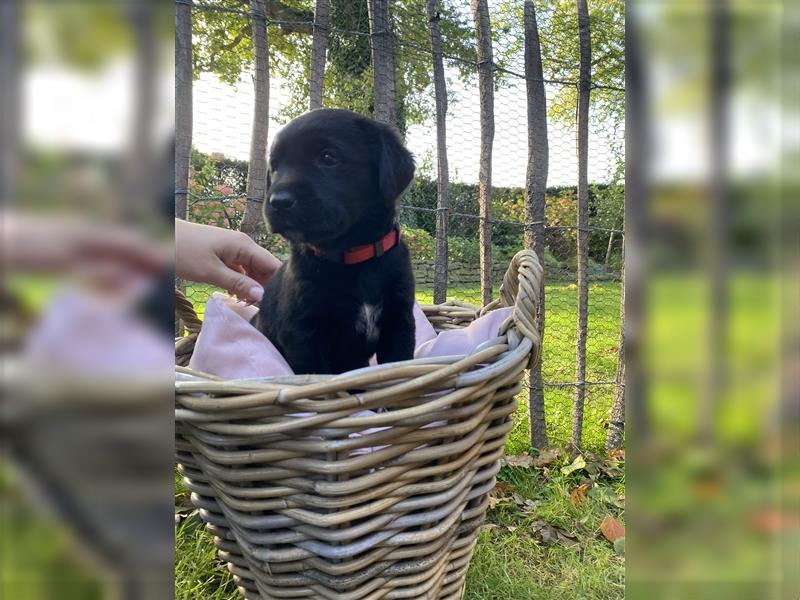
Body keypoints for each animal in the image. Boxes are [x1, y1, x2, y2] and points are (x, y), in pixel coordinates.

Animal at [256, 106, 418, 370]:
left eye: (328, 157)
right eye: (275, 165)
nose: (278, 202)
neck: (356, 255)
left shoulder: (399, 321)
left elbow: (398, 362)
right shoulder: (303, 332)